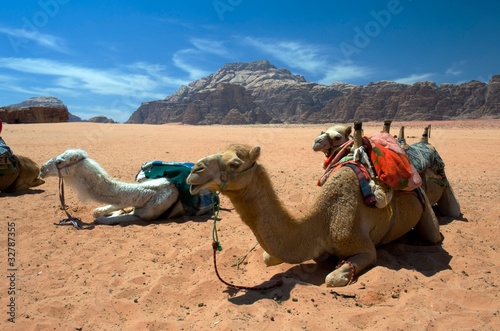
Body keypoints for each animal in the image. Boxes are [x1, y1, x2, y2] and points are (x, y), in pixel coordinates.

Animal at [40, 150, 179, 226]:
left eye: (60, 161)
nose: (41, 169)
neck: (150, 194)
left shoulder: (145, 216)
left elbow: (102, 219)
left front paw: (111, 216)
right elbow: (97, 211)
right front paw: (115, 211)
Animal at [187, 137, 442, 288]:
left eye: (235, 164)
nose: (194, 171)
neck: (321, 222)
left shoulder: (364, 247)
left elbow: (332, 277)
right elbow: (268, 257)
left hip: (423, 202)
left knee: (433, 235)